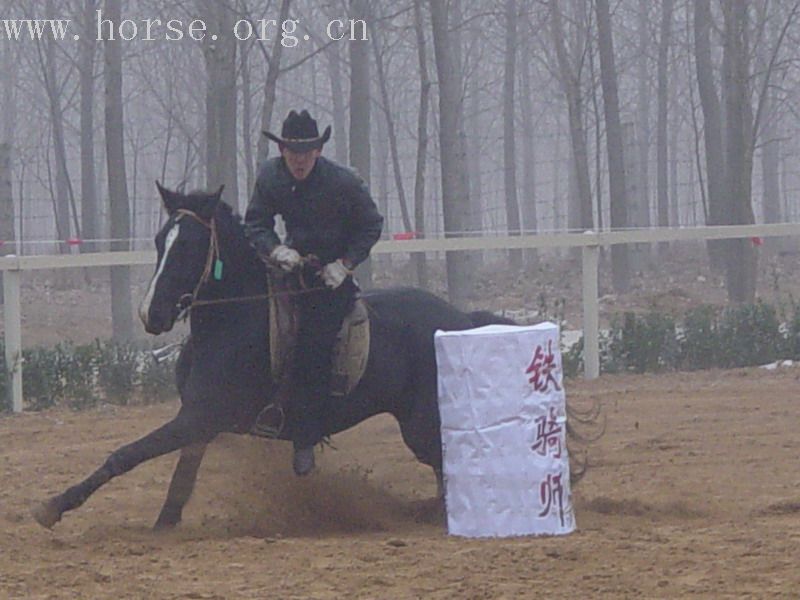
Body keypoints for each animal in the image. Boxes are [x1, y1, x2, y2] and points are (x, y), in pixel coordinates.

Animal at [31, 184, 524, 528]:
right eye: (158, 241)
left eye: (188, 245)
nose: (151, 313)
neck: (234, 320)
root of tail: (459, 318)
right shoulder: (199, 422)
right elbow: (180, 482)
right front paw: (164, 523)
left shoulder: (199, 417)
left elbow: (127, 455)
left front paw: (54, 506)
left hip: (421, 425)